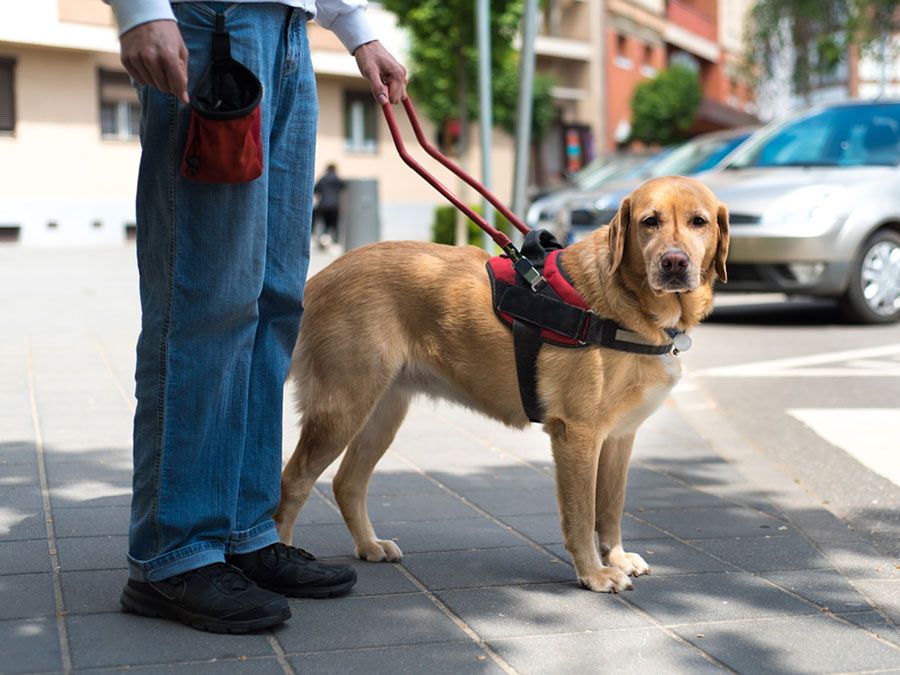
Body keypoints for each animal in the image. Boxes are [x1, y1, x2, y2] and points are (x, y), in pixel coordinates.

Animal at [274, 176, 724, 592]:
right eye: (650, 221)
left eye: (698, 222)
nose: (674, 262)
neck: (627, 305)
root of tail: (322, 276)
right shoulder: (578, 435)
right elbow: (582, 515)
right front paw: (594, 573)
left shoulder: (618, 437)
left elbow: (610, 508)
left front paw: (615, 557)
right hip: (341, 409)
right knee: (292, 481)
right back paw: (283, 559)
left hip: (381, 414)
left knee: (347, 483)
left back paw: (369, 545)